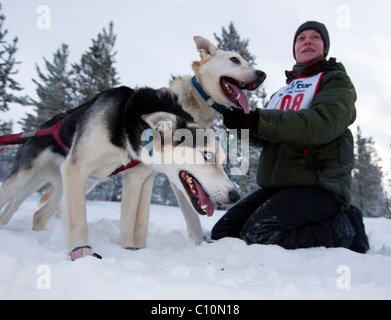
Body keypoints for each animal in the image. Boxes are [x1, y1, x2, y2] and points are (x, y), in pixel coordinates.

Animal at [0, 87, 239, 260]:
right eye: (207, 155)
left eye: (223, 161)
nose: (235, 195)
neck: (126, 125)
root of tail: (44, 125)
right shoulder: (76, 166)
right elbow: (79, 218)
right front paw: (81, 252)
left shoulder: (140, 178)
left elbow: (136, 221)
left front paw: (133, 250)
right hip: (27, 179)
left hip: (75, 185)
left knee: (39, 215)